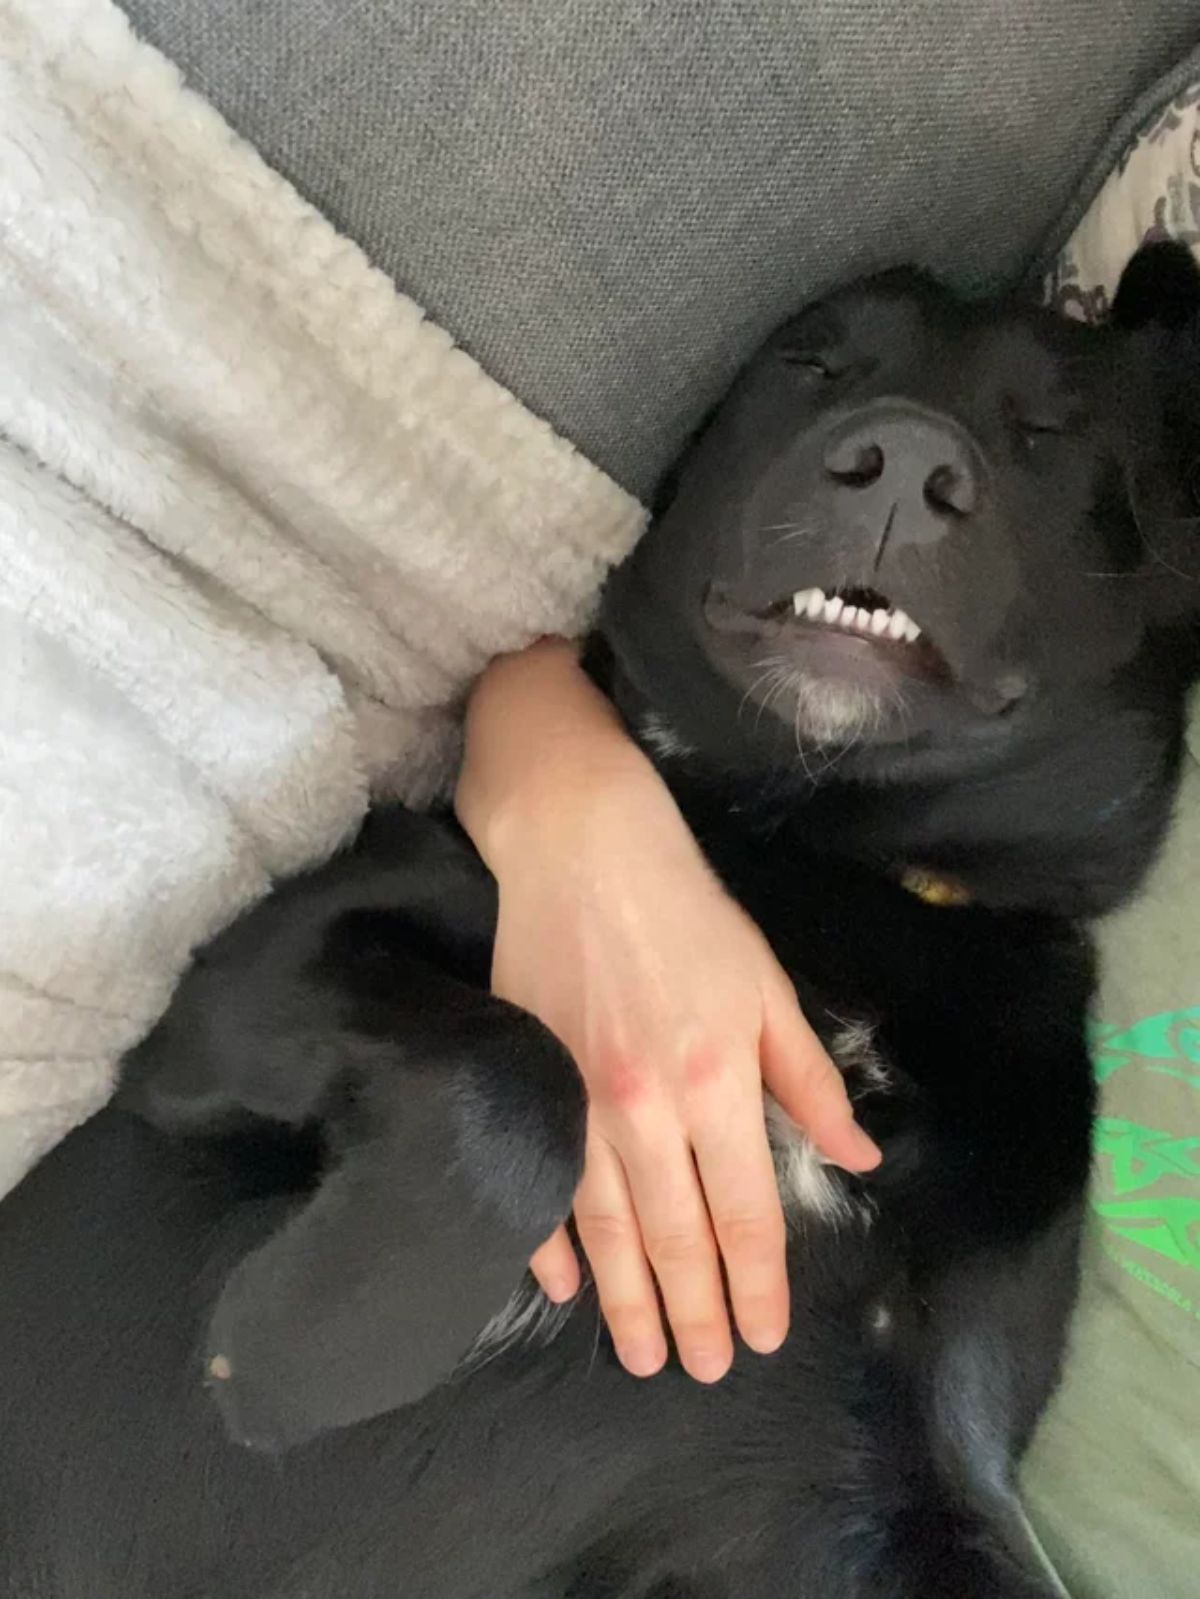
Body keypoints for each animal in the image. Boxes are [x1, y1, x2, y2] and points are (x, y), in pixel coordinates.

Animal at [2, 239, 1200, 1599]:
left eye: (1049, 430)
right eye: (811, 364)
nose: (898, 459)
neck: (825, 865)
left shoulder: (925, 1443)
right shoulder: (227, 1008)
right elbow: (520, 1076)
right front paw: (293, 1353)